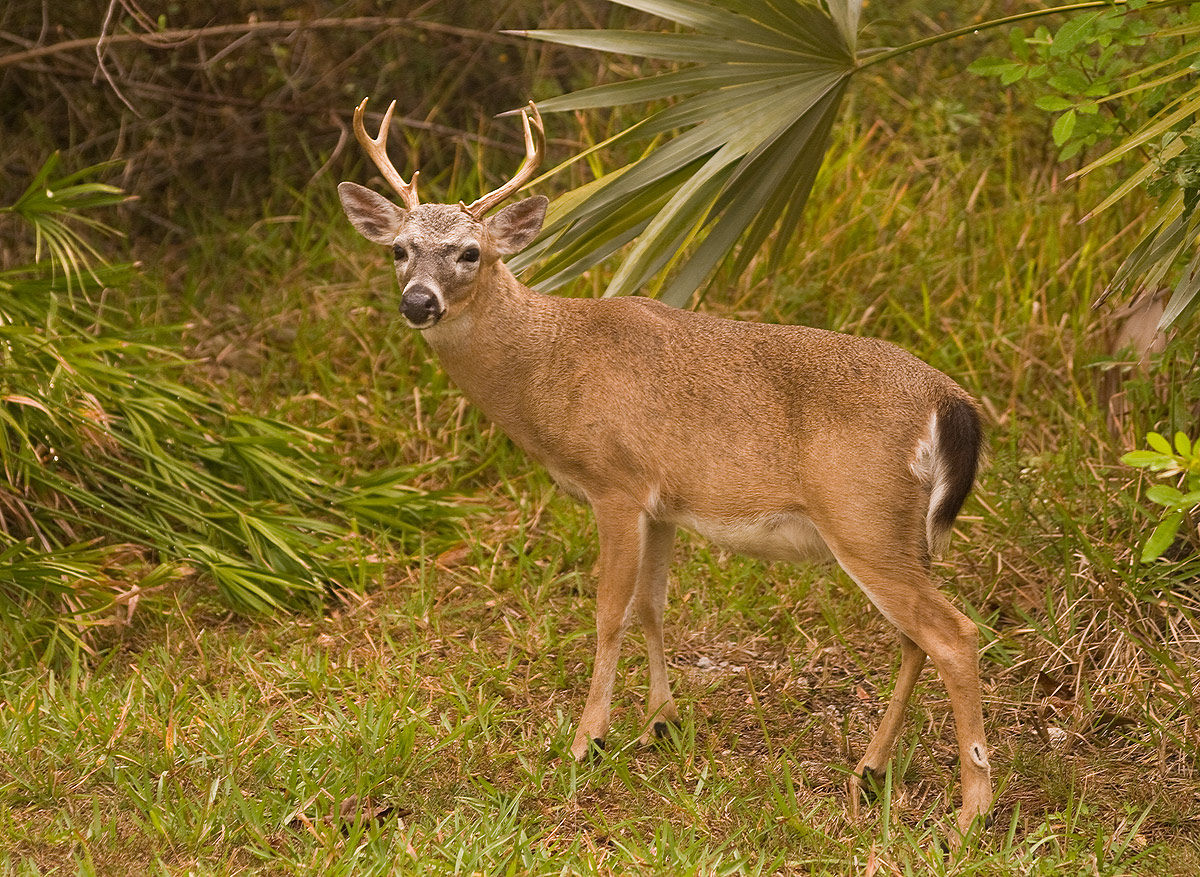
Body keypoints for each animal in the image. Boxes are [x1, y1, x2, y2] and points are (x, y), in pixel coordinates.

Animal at [337, 97, 993, 836]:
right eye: (399, 249)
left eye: (470, 252)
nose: (418, 302)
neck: (546, 367)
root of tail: (950, 402)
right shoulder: (663, 503)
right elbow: (652, 605)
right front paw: (660, 722)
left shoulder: (614, 484)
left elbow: (608, 612)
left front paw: (585, 740)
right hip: (900, 531)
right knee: (916, 638)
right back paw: (870, 770)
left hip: (864, 516)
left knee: (954, 634)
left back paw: (969, 813)